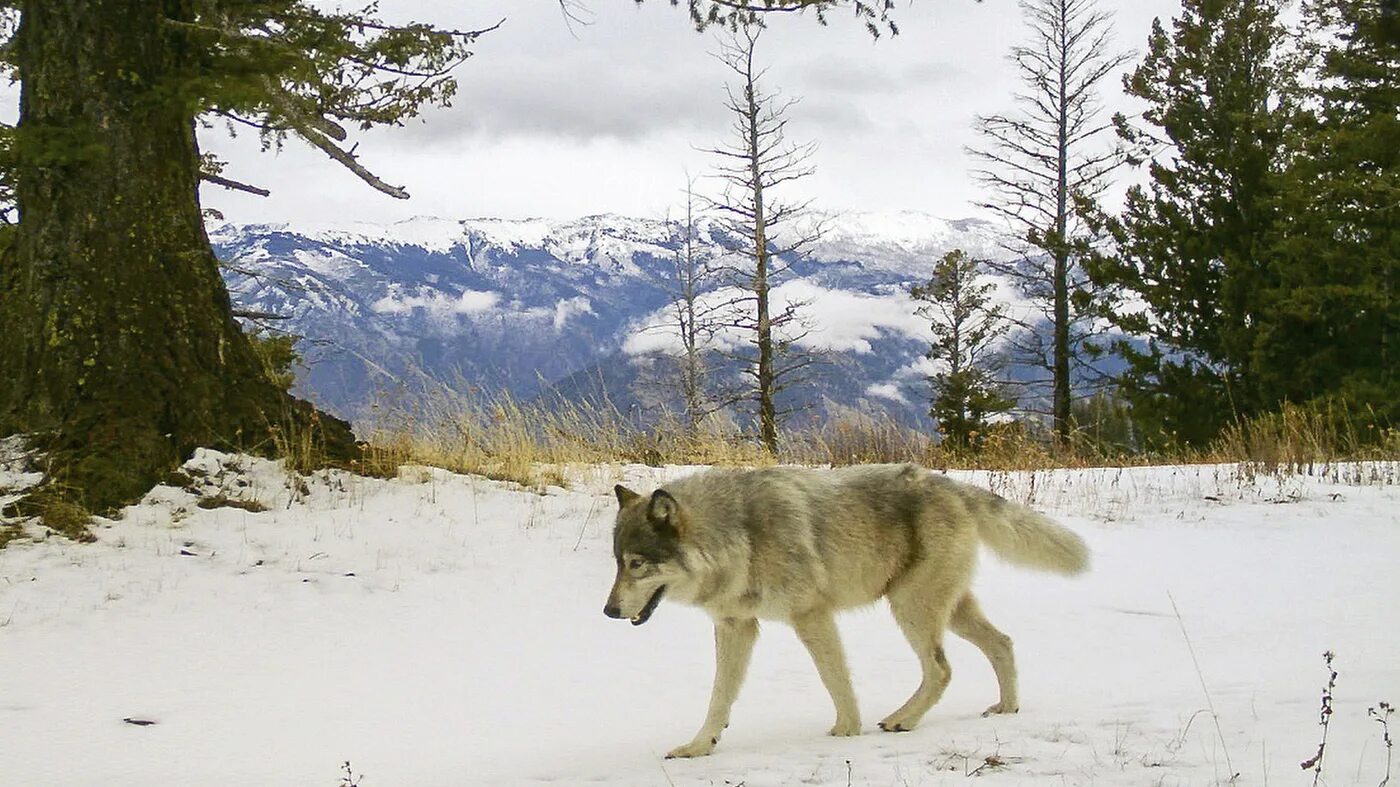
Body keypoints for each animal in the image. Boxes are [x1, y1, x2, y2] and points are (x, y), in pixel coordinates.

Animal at [604, 462, 1092, 756]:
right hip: (948, 611)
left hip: (911, 609)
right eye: (617, 563)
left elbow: (834, 678)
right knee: (1002, 643)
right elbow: (719, 696)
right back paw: (1006, 708)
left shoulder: (811, 615)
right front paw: (699, 747)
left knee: (941, 669)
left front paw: (846, 731)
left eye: (637, 564)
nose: (608, 611)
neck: (739, 535)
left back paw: (902, 720)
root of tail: (951, 484)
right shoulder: (736, 626)